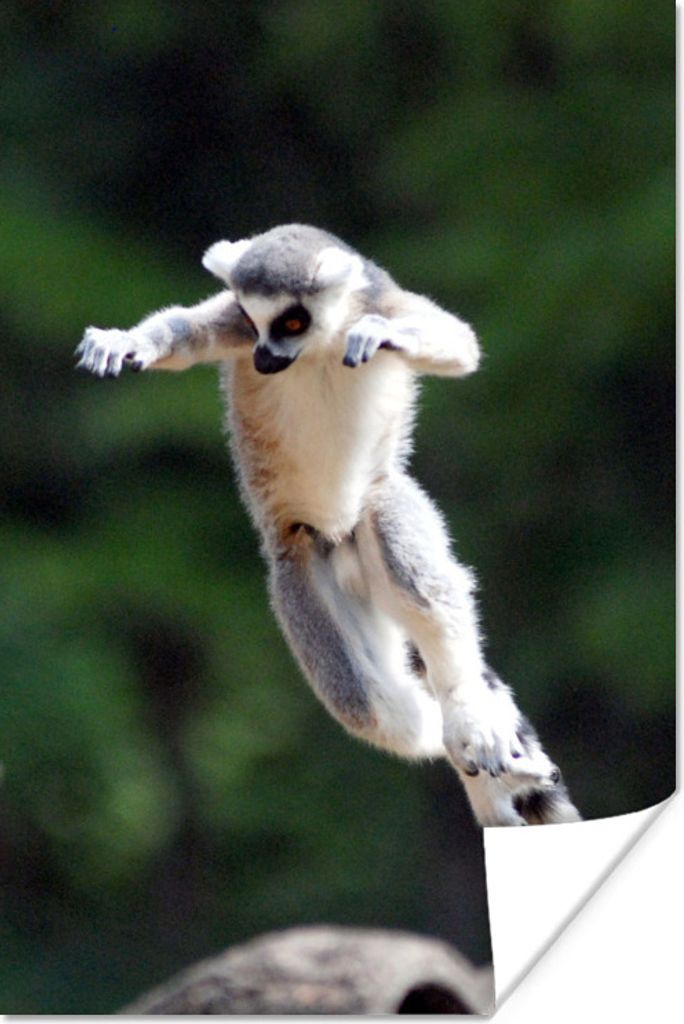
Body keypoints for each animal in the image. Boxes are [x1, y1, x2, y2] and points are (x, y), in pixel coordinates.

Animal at [75, 223, 581, 827]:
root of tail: (342, 547)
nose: (265, 359)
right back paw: (456, 743)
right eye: (252, 321)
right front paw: (125, 342)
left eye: (290, 322)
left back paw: (467, 719)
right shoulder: (231, 327)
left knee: (416, 573)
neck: (319, 344)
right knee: (373, 706)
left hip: (377, 510)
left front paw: (382, 334)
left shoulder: (383, 300)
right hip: (304, 576)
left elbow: (458, 343)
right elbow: (186, 331)